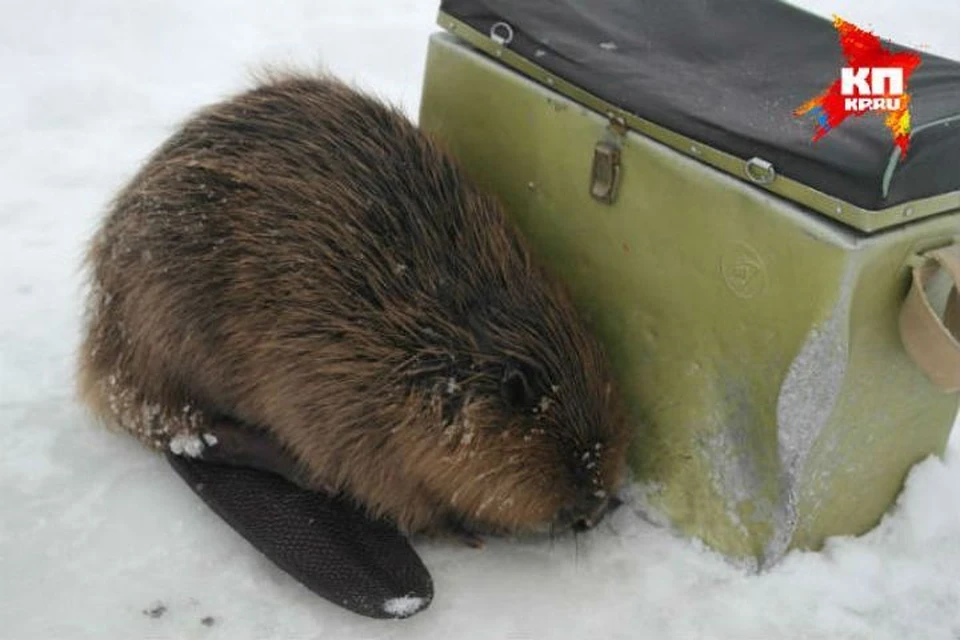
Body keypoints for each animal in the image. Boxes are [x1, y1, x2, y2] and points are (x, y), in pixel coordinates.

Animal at [77, 72, 632, 536]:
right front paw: (460, 525)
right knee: (180, 427)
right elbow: (379, 483)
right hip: (166, 325)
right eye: (574, 461)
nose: (600, 503)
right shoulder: (331, 389)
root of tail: (101, 346)